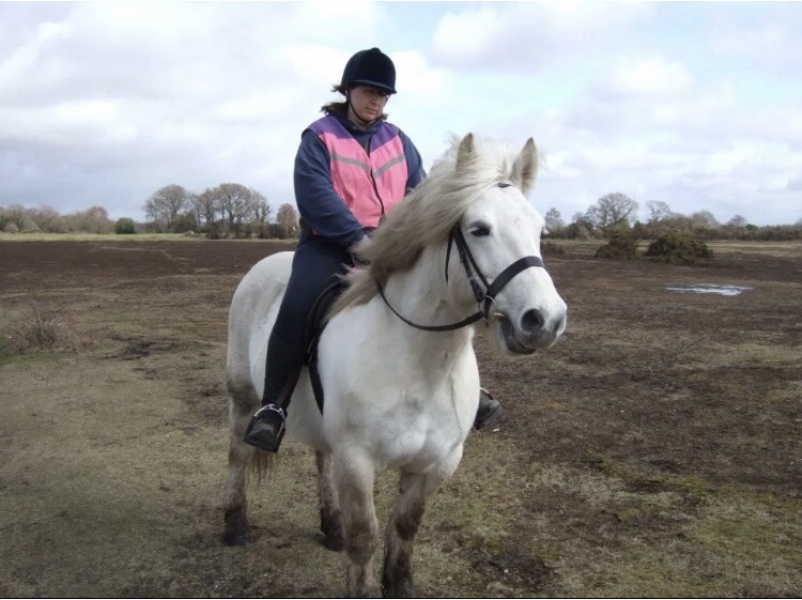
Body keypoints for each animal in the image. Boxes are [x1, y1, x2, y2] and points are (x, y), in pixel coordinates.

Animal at [223, 132, 567, 597]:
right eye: (479, 229)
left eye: (538, 229)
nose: (544, 320)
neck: (419, 365)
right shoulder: (357, 462)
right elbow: (364, 538)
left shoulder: (437, 463)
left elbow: (405, 528)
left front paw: (399, 583)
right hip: (243, 399)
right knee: (238, 453)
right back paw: (236, 525)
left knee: (320, 458)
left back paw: (329, 526)